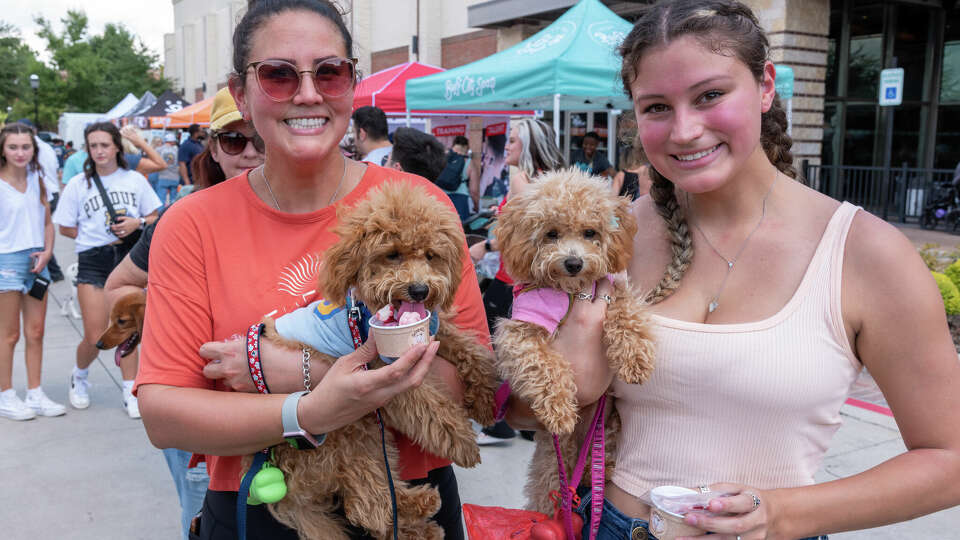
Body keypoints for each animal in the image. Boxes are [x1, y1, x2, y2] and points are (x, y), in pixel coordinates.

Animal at [251, 182, 498, 540]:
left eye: (430, 255)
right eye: (392, 254)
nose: (420, 289)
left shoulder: (437, 331)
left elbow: (470, 349)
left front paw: (485, 398)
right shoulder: (387, 376)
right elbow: (431, 407)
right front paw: (464, 442)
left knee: (370, 504)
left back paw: (420, 513)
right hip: (349, 431)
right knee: (370, 508)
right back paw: (421, 512)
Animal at [492, 168, 656, 510]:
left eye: (590, 232)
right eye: (551, 233)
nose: (573, 262)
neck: (569, 291)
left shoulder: (614, 289)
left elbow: (627, 315)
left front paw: (635, 358)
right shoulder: (521, 329)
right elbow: (544, 365)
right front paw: (560, 410)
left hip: (609, 431)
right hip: (552, 464)